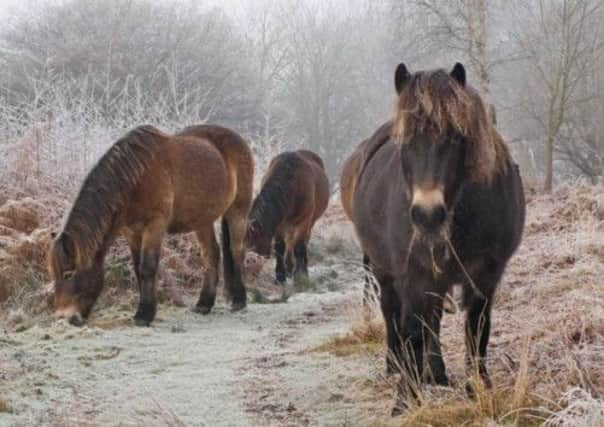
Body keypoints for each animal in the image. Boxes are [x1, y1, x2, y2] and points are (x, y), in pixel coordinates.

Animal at [48, 125, 254, 326]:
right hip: (202, 220)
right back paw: (204, 304)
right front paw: (145, 310)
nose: (63, 318)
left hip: (238, 211)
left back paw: (239, 301)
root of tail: (238, 139)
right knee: (211, 254)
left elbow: (147, 268)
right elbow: (138, 268)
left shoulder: (154, 225)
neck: (136, 178)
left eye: (68, 273)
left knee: (236, 251)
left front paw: (144, 315)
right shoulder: (131, 232)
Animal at [247, 150, 330, 284]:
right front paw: (280, 277)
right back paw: (289, 267)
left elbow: (299, 247)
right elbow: (280, 247)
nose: (248, 275)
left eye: (252, 244)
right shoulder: (279, 223)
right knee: (289, 242)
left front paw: (300, 275)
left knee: (302, 242)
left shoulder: (304, 221)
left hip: (309, 222)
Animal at [342, 63, 528, 412]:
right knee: (391, 313)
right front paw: (406, 398)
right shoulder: (414, 276)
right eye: (404, 142)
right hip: (384, 270)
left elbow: (477, 330)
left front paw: (478, 387)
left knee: (435, 319)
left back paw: (436, 372)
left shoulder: (485, 276)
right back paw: (395, 365)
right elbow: (413, 331)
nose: (427, 214)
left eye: (455, 137)